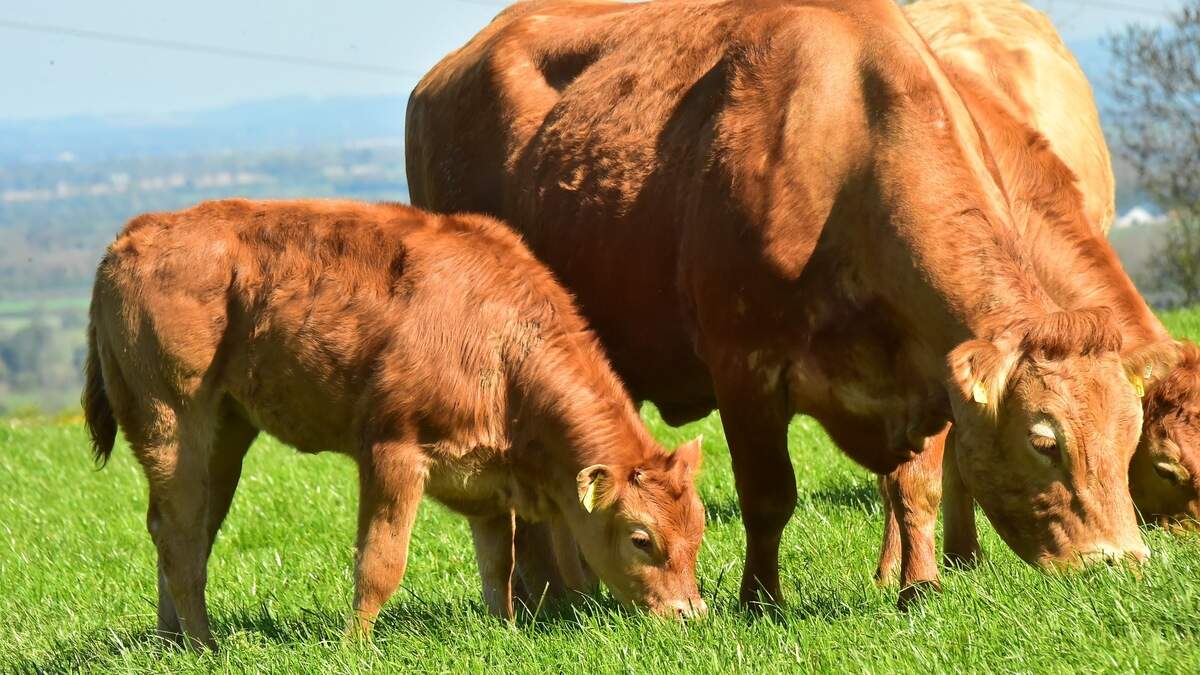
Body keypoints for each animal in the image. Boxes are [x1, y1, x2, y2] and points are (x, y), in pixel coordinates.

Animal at [82, 199, 706, 651]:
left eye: (698, 530)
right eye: (641, 538)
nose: (691, 615)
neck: (499, 342)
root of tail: (133, 236)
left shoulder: (486, 478)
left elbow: (498, 566)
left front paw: (504, 633)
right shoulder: (391, 452)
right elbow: (380, 562)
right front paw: (354, 648)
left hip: (225, 432)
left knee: (185, 530)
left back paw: (173, 642)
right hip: (171, 421)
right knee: (181, 534)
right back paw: (206, 648)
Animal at [406, 0, 1161, 608]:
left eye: (1132, 434)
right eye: (1044, 439)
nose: (1118, 564)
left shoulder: (926, 371)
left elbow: (915, 487)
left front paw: (920, 588)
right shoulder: (744, 366)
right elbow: (769, 497)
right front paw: (760, 600)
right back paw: (545, 597)